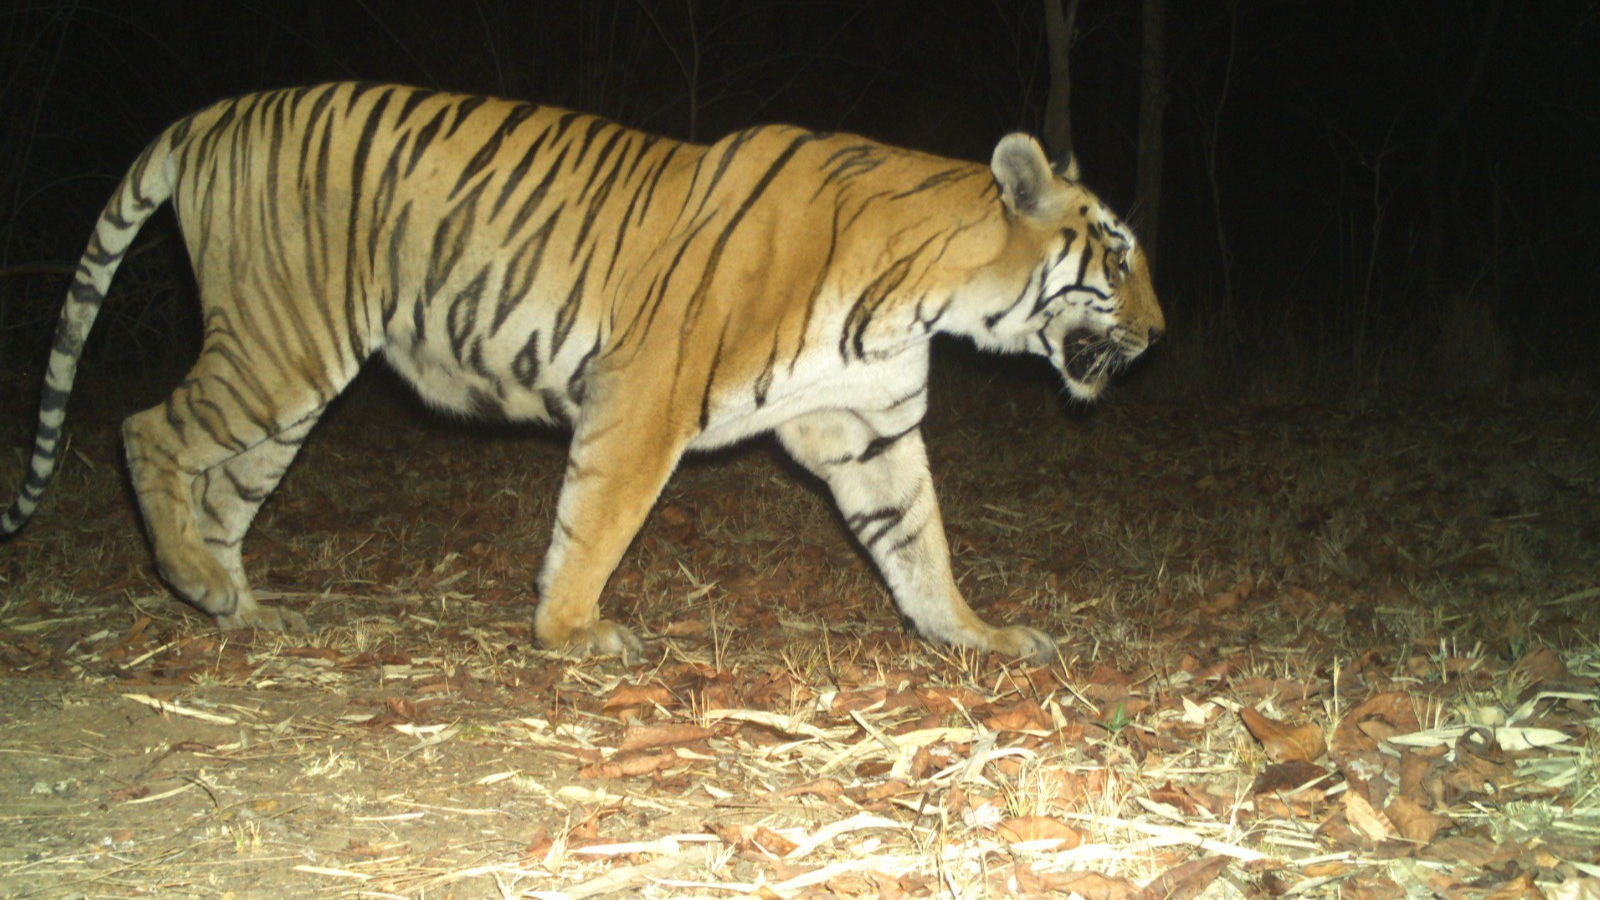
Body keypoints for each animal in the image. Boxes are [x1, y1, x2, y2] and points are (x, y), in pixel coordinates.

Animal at [0, 82, 1164, 659]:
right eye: (1115, 255)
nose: (1158, 335)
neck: (928, 297)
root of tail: (210, 113)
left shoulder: (866, 429)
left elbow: (920, 545)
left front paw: (977, 636)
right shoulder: (645, 396)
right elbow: (597, 519)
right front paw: (569, 633)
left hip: (285, 386)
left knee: (221, 488)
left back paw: (232, 608)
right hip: (279, 341)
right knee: (144, 429)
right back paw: (195, 579)